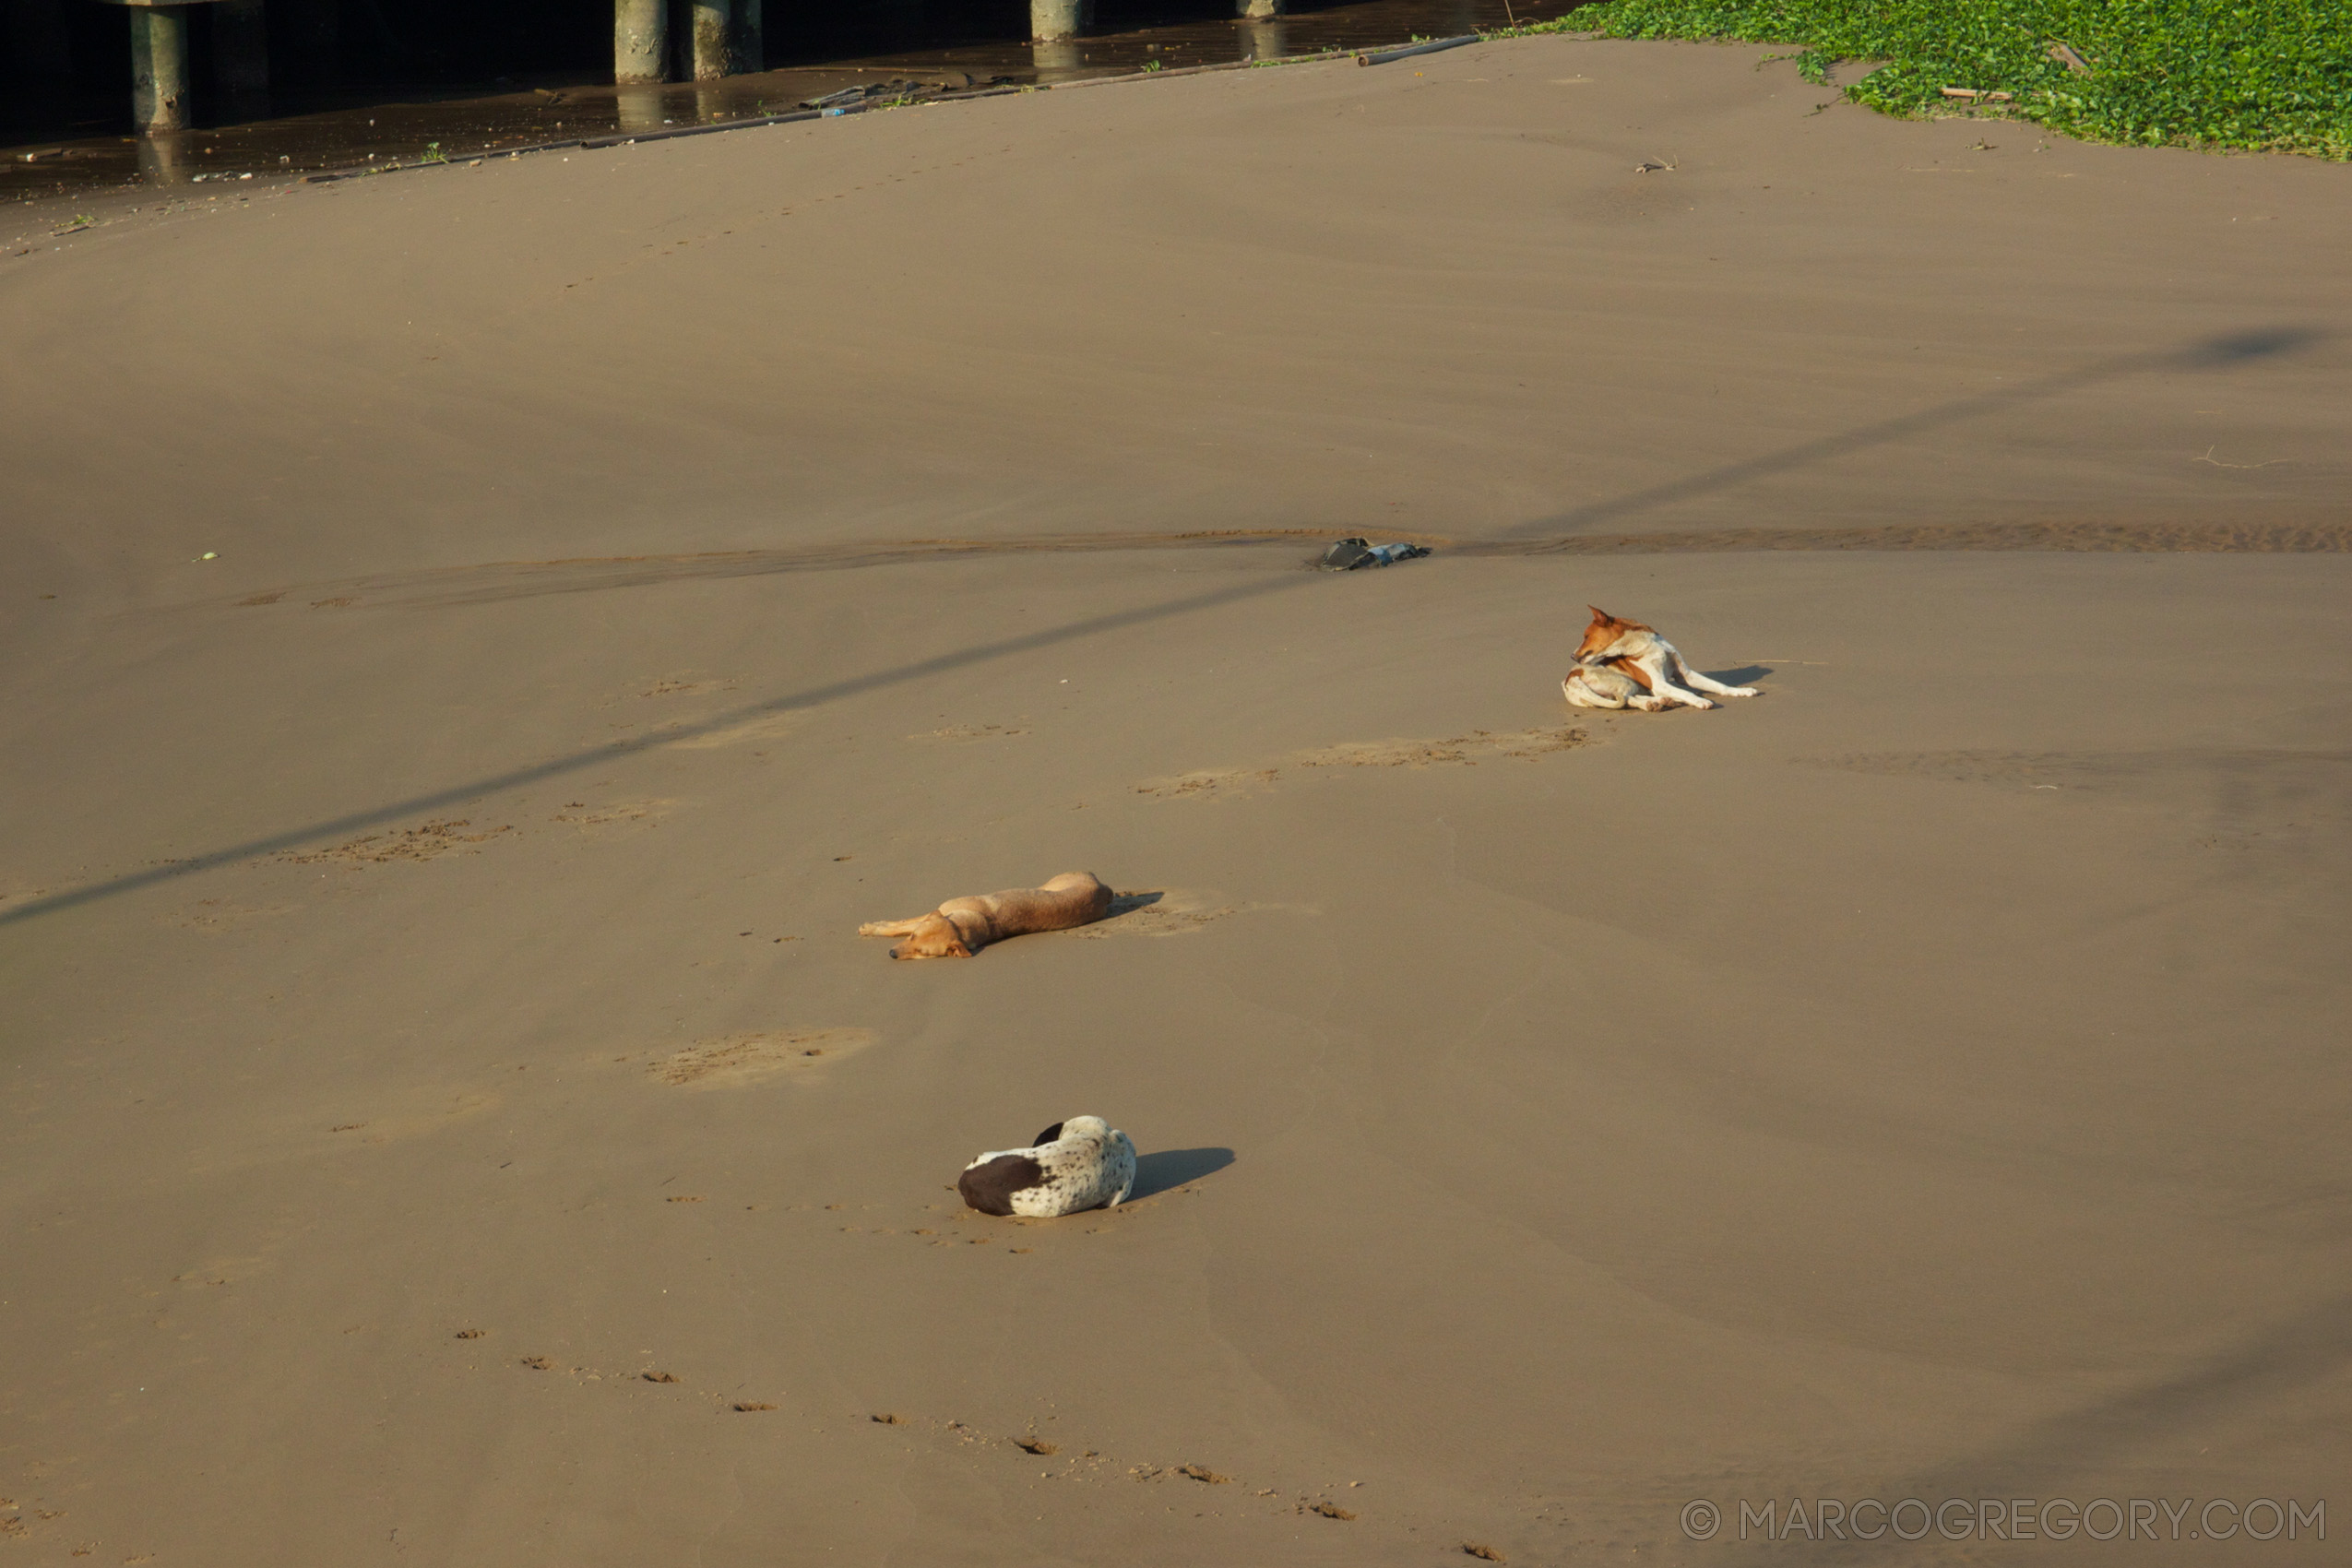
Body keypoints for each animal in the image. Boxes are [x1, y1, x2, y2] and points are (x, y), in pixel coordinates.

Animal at [861, 870, 1114, 958]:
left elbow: (898, 925)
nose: (892, 954)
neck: (963, 926)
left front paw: (872, 928)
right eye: (913, 939)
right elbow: (904, 924)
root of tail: (1104, 888)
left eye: (922, 953)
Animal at [1562, 611, 1768, 714]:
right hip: (1623, 680)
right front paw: (1700, 701)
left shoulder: (1686, 674)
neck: (1645, 644)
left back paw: (1661, 702)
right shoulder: (1658, 683)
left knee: (1629, 699)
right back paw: (1659, 702)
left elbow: (1719, 686)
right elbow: (1685, 692)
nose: (1571, 655)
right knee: (1628, 699)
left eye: (1586, 636)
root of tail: (1570, 680)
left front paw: (1741, 691)